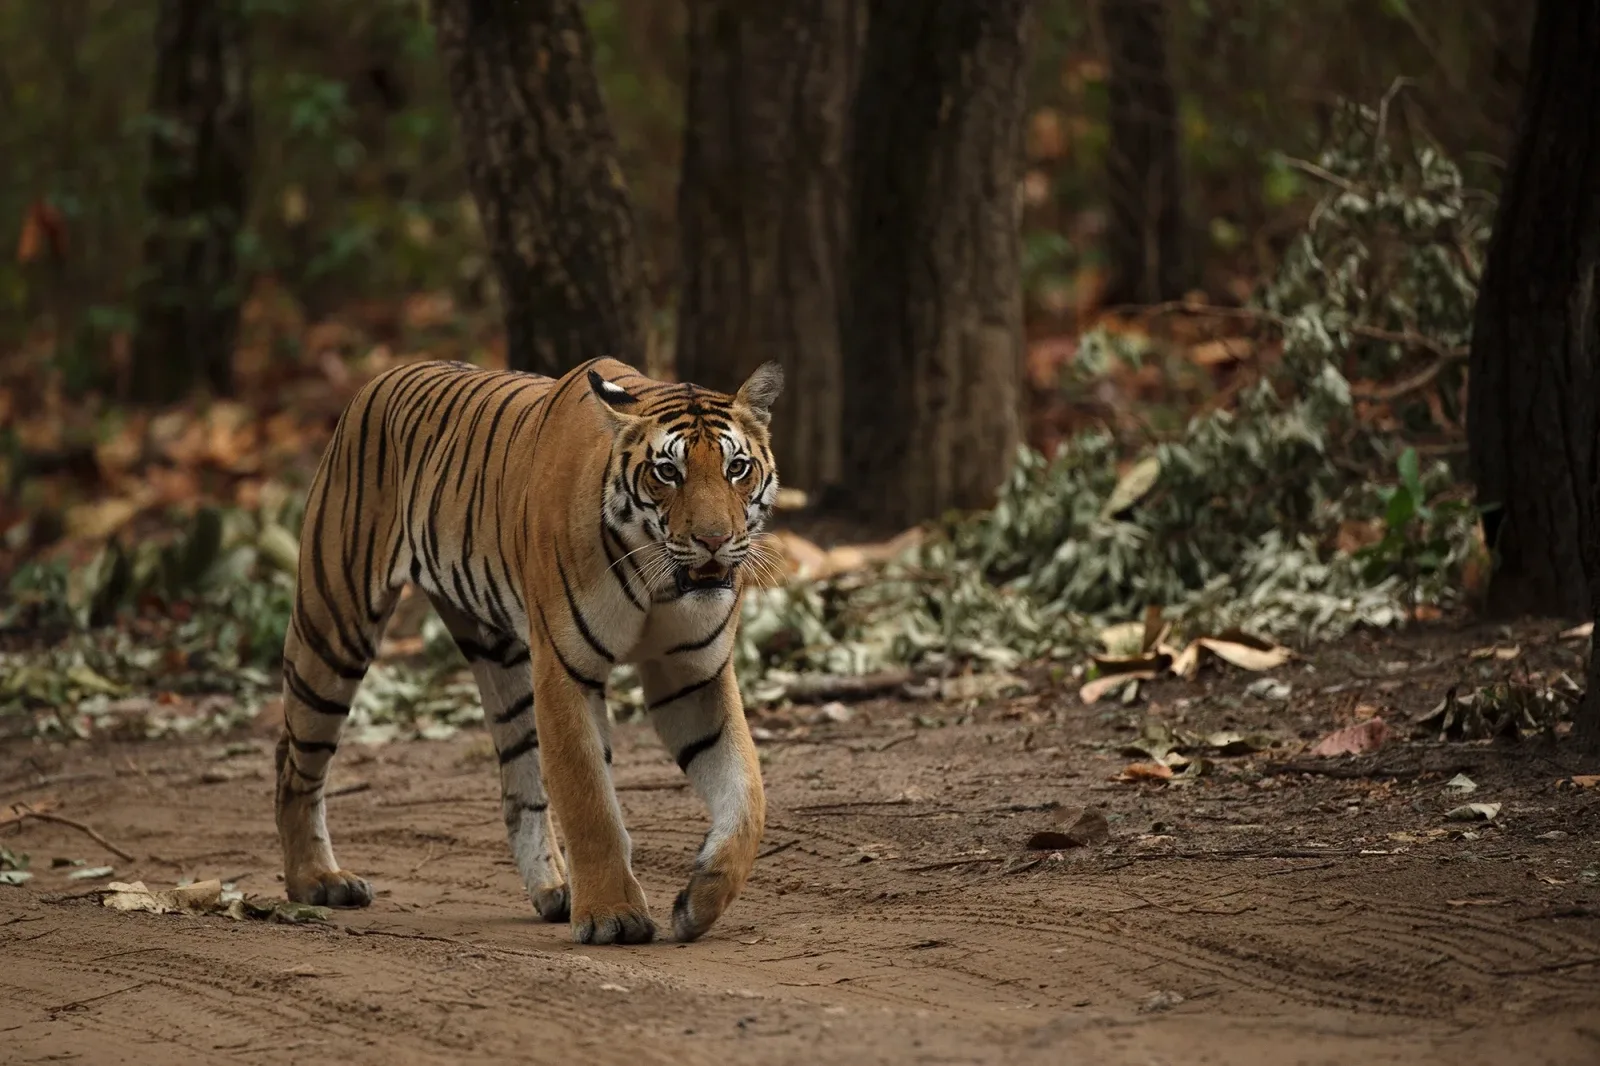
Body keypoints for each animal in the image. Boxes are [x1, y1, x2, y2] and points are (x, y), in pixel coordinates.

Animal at [276, 355, 787, 941]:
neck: (658, 581)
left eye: (737, 468)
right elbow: (589, 799)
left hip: (499, 657)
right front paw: (612, 916)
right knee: (294, 761)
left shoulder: (692, 675)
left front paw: (698, 901)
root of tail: (379, 379)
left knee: (518, 786)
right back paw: (317, 881)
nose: (713, 540)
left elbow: (748, 797)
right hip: (334, 628)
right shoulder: (565, 668)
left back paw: (554, 889)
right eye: (667, 472)